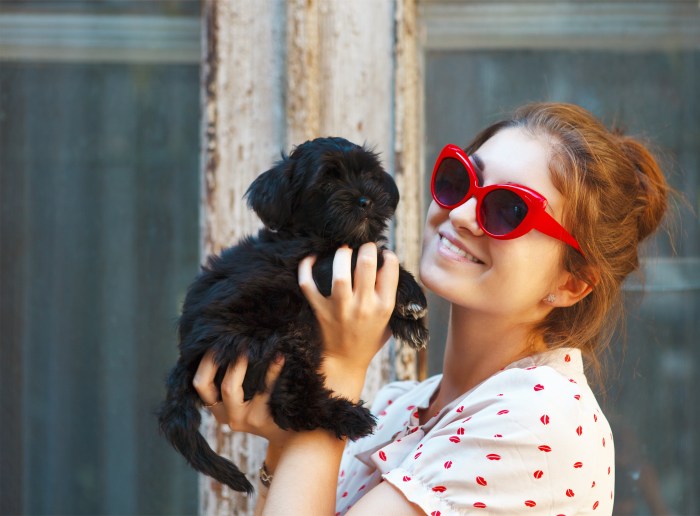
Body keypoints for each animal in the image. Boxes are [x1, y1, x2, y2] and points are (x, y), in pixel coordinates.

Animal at [159, 136, 430, 492]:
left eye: (369, 175)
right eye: (326, 182)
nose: (365, 200)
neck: (320, 234)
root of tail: (185, 363)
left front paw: (409, 322)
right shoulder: (314, 265)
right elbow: (375, 258)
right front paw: (411, 294)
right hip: (288, 332)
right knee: (289, 403)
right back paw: (347, 416)